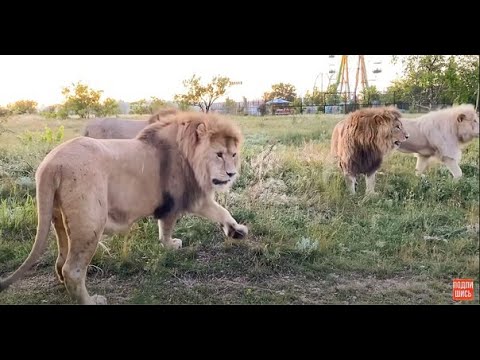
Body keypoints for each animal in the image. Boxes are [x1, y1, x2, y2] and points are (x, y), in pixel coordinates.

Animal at [0, 109, 248, 304]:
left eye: (234, 154)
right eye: (219, 154)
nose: (231, 174)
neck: (190, 153)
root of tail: (51, 164)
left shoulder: (182, 197)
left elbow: (214, 213)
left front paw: (235, 231)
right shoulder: (184, 197)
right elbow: (182, 221)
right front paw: (173, 244)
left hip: (58, 216)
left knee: (61, 259)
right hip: (90, 222)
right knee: (73, 269)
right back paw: (91, 301)